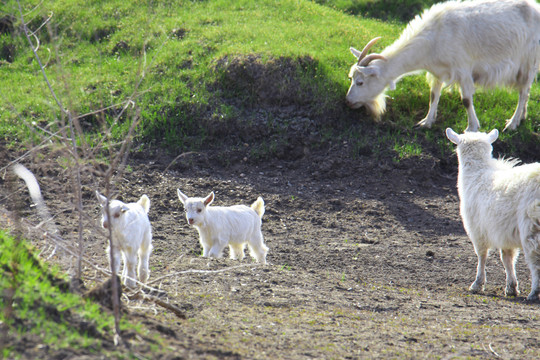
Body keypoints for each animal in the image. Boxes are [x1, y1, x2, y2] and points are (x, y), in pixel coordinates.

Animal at [346, 0, 540, 132]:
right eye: (351, 79)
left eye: (360, 82)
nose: (348, 101)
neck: (435, 37)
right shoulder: (437, 71)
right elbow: (433, 95)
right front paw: (426, 122)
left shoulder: (463, 68)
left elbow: (466, 100)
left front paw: (472, 128)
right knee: (526, 90)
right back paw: (522, 117)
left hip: (528, 61)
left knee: (523, 92)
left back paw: (512, 123)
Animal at [448, 128, 540, 302]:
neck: (478, 172)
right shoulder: (504, 231)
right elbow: (507, 258)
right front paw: (511, 287)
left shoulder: (477, 230)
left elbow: (482, 255)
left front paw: (477, 284)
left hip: (532, 226)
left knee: (536, 260)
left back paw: (534, 292)